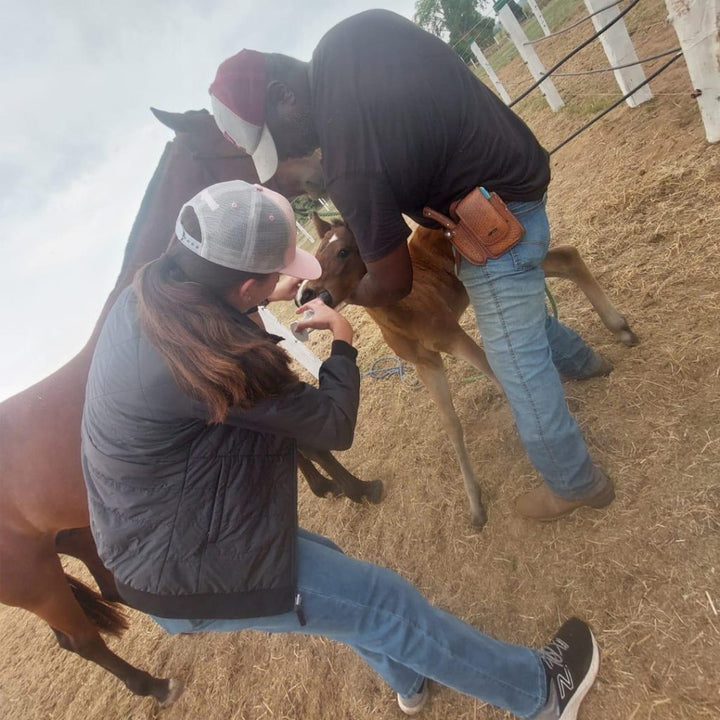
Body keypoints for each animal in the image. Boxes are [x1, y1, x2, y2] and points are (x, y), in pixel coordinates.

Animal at [0, 109, 379, 706]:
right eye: (231, 135)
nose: (320, 167)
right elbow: (313, 440)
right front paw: (355, 489)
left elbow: (299, 449)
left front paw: (326, 488)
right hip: (33, 579)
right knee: (78, 640)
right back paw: (153, 686)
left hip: (74, 537)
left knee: (112, 591)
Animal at [298, 213, 639, 527]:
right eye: (316, 256)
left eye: (343, 252)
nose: (308, 294)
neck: (400, 310)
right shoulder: (426, 363)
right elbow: (451, 424)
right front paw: (475, 503)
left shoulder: (454, 337)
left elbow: (501, 381)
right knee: (564, 259)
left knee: (567, 256)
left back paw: (619, 329)